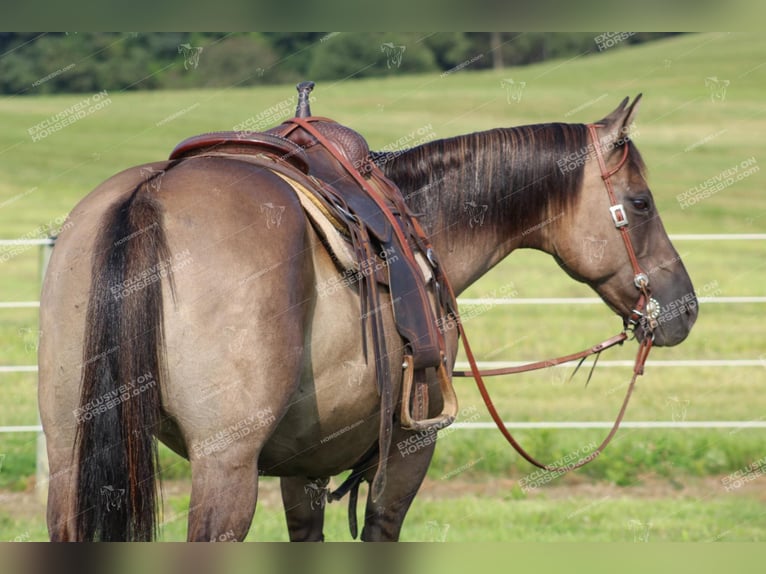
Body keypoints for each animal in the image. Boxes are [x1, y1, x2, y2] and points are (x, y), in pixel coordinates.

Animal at [39, 94, 700, 544]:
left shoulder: (303, 465)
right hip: (224, 465)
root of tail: (149, 194)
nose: (686, 308)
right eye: (641, 203)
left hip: (72, 449)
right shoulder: (409, 445)